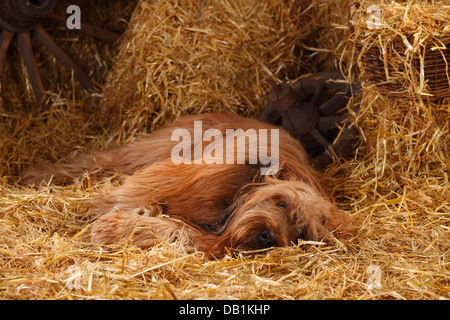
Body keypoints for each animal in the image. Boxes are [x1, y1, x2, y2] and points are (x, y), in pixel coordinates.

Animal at [21, 113, 354, 258]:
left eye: (301, 235)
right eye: (281, 203)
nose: (269, 236)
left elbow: (178, 231)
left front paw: (123, 226)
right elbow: (123, 200)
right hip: (149, 151)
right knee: (99, 161)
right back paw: (35, 174)